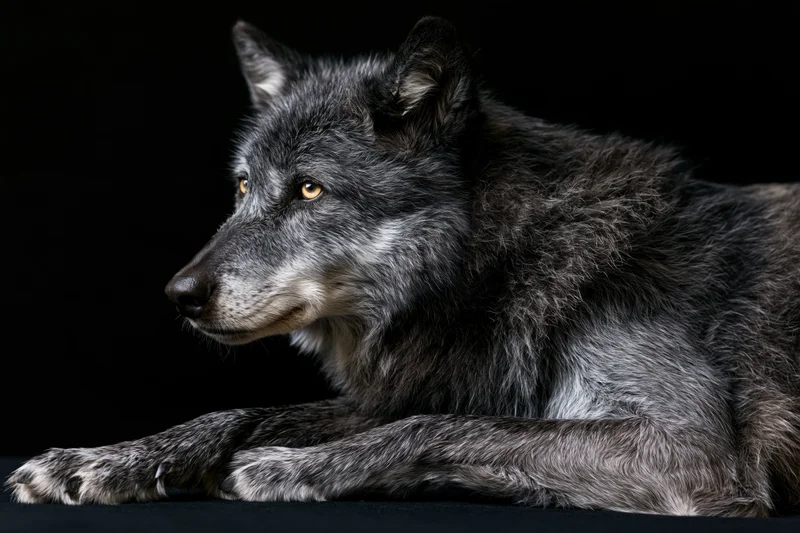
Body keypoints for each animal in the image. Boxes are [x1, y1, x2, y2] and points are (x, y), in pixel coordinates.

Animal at [6, 16, 800, 516]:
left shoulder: (688, 450)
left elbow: (444, 427)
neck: (504, 262)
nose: (180, 294)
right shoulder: (426, 383)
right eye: (241, 187)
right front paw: (99, 461)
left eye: (309, 189)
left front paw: (294, 467)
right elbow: (242, 411)